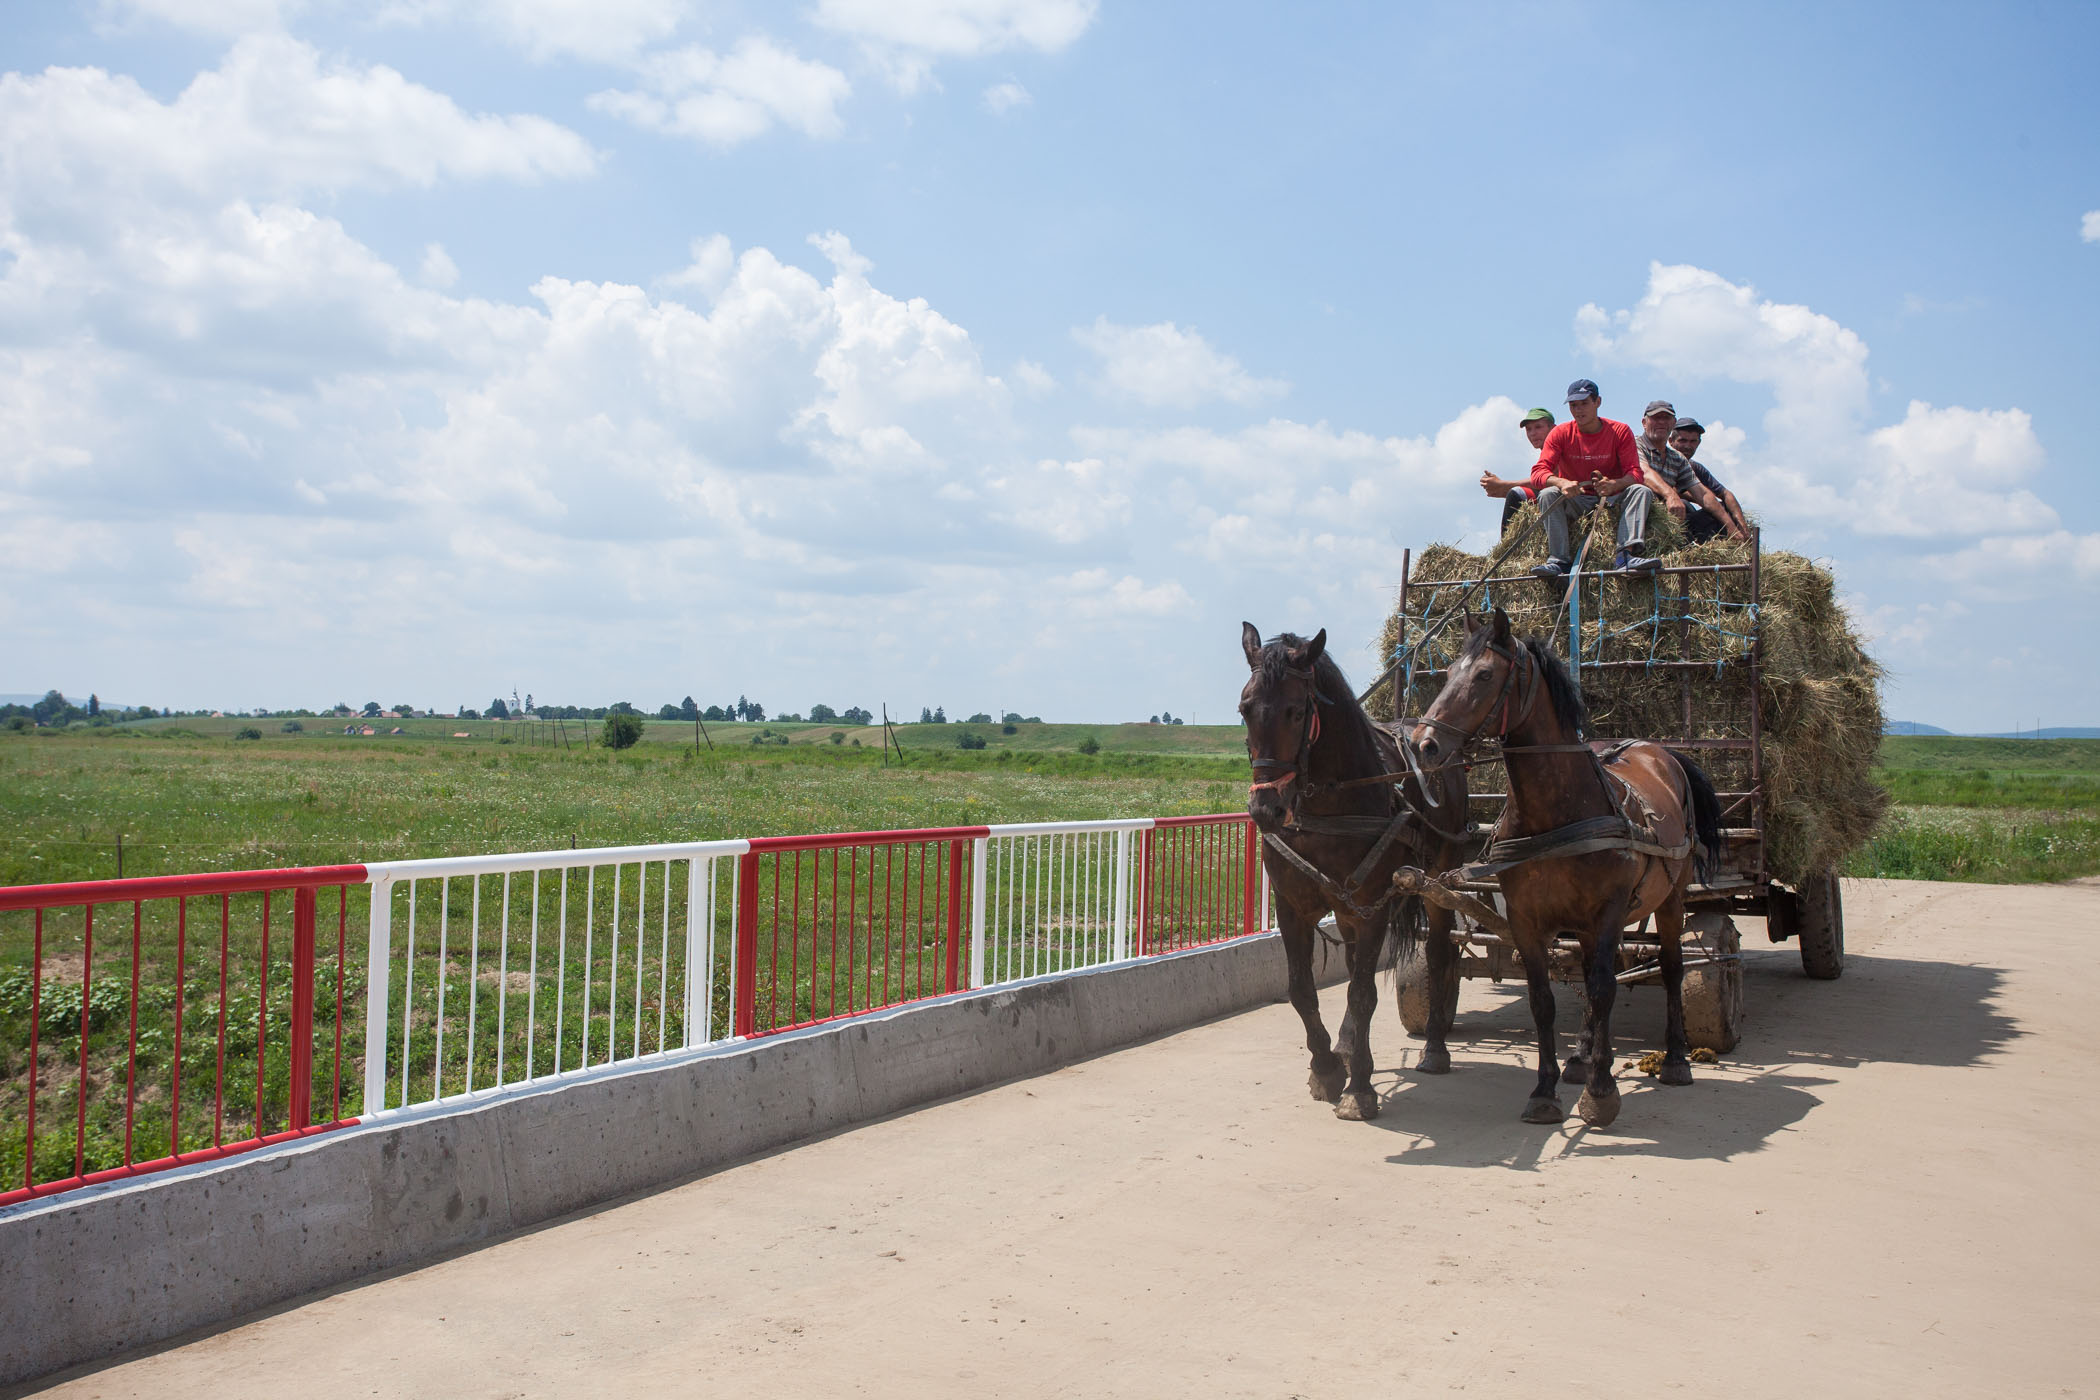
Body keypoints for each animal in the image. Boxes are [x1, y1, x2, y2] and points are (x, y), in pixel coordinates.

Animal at [1234, 621, 1469, 1116]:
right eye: (1245, 709)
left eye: (1295, 711)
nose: (1265, 809)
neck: (1329, 805)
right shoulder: (1294, 906)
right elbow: (1302, 990)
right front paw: (1326, 1067)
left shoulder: (1373, 904)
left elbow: (1362, 992)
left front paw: (1360, 1086)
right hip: (1345, 908)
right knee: (1350, 959)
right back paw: (1345, 1046)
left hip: (1438, 881)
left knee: (1439, 955)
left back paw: (1434, 1046)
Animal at [1402, 608, 1713, 1125]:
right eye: (1446, 674)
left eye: (1484, 675)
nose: (1423, 745)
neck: (1558, 810)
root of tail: (1660, 751)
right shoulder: (1528, 920)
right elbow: (1544, 1000)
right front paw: (1545, 1090)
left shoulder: (1607, 914)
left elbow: (1606, 989)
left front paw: (1602, 1092)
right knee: (1586, 977)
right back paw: (1582, 1056)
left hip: (1670, 899)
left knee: (1668, 968)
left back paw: (1673, 1060)